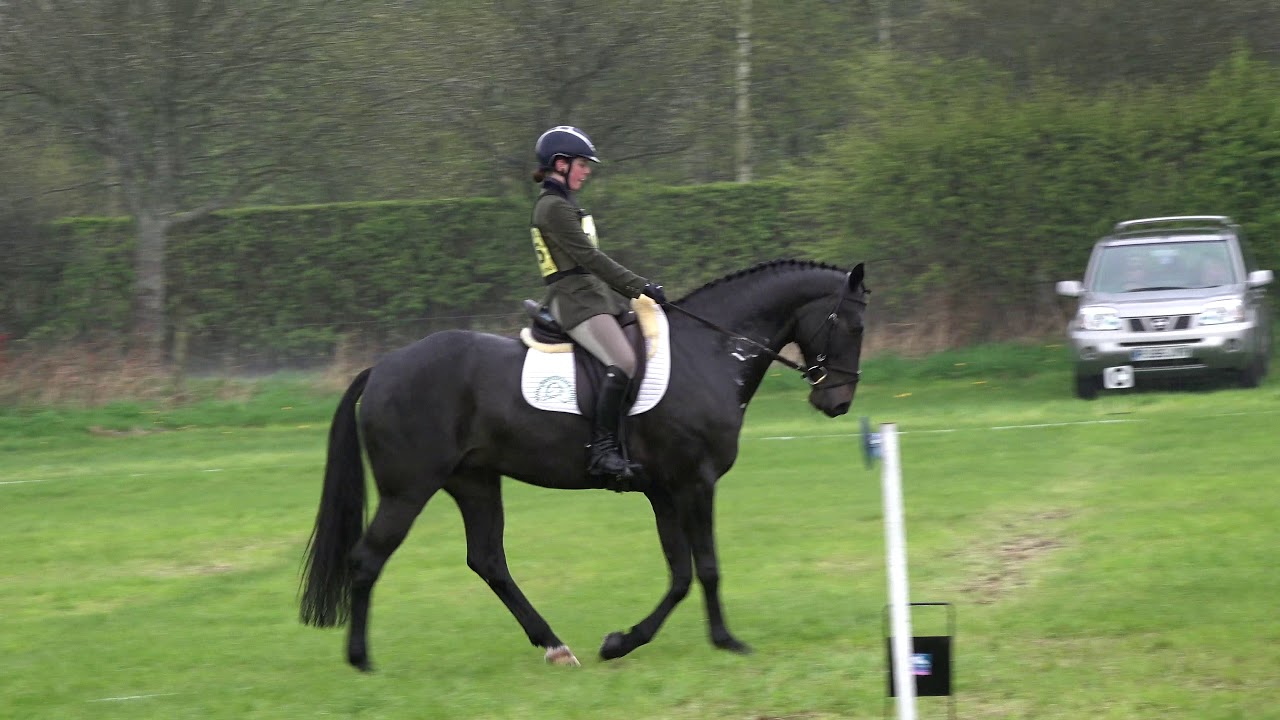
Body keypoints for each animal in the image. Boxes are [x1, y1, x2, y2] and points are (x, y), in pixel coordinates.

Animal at [300, 259, 868, 670]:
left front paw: (622, 642)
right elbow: (705, 567)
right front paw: (727, 641)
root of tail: (381, 368)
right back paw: (361, 661)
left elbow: (680, 574)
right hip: (408, 490)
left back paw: (554, 645)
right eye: (853, 324)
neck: (708, 353)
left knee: (488, 561)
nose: (837, 401)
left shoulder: (665, 491)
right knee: (366, 560)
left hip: (475, 482)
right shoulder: (694, 483)